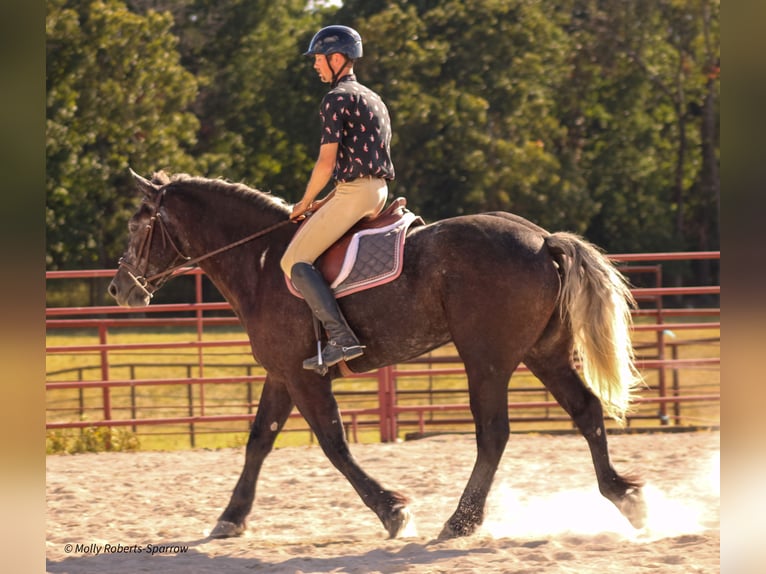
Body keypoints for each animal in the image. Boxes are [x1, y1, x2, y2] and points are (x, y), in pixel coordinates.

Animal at [108, 170, 648, 540]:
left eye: (137, 227)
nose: (119, 289)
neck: (261, 262)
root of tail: (541, 239)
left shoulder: (305, 378)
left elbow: (334, 444)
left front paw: (393, 511)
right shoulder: (282, 375)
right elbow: (259, 440)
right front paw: (231, 518)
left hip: (487, 361)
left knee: (494, 433)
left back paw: (461, 521)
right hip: (545, 354)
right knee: (586, 412)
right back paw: (624, 497)